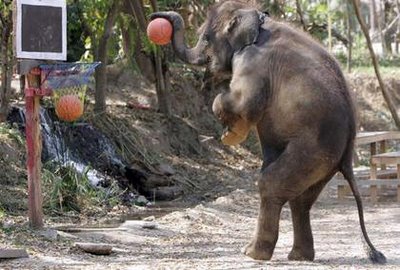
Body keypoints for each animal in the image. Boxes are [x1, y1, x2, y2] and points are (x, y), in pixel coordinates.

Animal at [151, 0, 388, 264]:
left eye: (205, 37)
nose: (157, 17)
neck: (257, 19)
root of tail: (348, 153)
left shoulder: (253, 62)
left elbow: (242, 101)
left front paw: (230, 135)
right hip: (325, 164)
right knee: (301, 200)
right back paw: (298, 256)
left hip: (313, 150)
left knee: (271, 184)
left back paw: (253, 253)